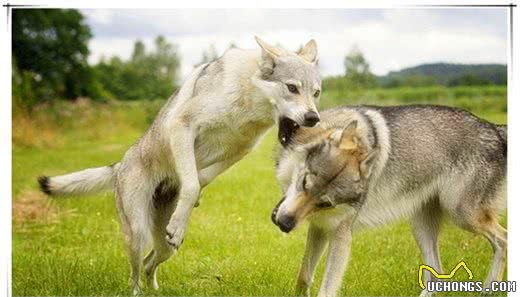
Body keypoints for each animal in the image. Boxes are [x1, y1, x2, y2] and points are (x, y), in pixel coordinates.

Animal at [37, 35, 320, 292]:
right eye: (292, 88)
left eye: (316, 93)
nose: (313, 118)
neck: (247, 102)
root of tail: (119, 165)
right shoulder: (182, 128)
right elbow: (192, 183)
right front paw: (184, 212)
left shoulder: (238, 151)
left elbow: (199, 178)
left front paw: (190, 203)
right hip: (138, 234)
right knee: (134, 276)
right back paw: (141, 288)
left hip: (165, 248)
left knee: (150, 264)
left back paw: (156, 287)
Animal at [272, 104, 508, 296]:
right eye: (305, 183)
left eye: (325, 203)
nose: (284, 224)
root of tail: (494, 129)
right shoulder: (320, 227)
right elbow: (304, 277)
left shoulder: (341, 234)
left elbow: (327, 289)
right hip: (421, 226)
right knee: (436, 273)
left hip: (462, 216)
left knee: (504, 240)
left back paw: (489, 289)